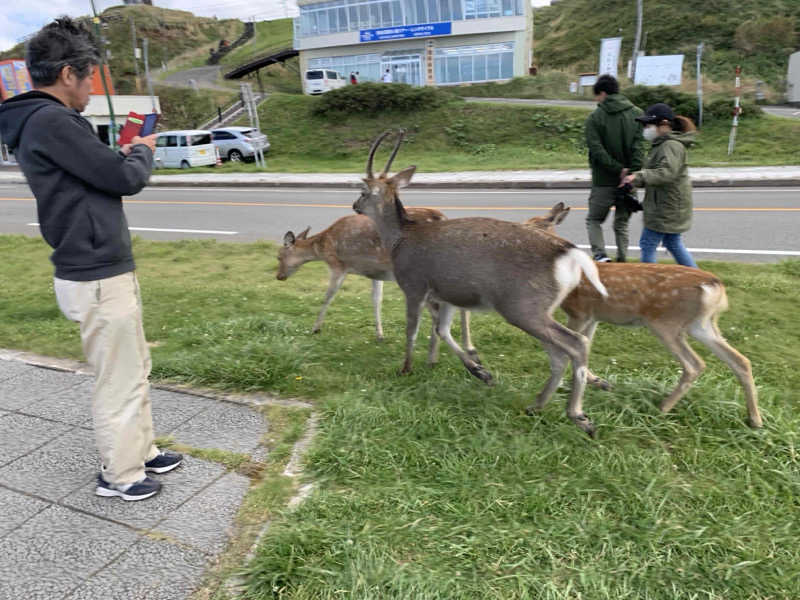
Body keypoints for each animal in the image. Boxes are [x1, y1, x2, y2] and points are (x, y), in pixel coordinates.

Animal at [278, 213, 476, 364]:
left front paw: (315, 328)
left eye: (279, 256)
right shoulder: (376, 273)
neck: (322, 247)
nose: (279, 276)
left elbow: (328, 296)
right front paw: (380, 335)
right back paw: (468, 347)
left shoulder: (338, 265)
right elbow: (376, 300)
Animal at [354, 130, 608, 436]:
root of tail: (570, 254)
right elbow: (442, 330)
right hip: (536, 308)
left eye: (363, 191)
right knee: (559, 352)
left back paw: (579, 416)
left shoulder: (413, 285)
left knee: (575, 342)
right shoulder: (448, 293)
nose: (355, 206)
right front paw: (480, 371)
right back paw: (537, 406)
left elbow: (412, 330)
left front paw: (406, 368)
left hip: (523, 304)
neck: (399, 241)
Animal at [524, 204, 764, 428]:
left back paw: (663, 407)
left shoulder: (579, 312)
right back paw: (755, 419)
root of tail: (714, 286)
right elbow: (586, 344)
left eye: (531, 225)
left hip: (666, 323)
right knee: (741, 361)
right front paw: (597, 381)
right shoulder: (593, 316)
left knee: (695, 364)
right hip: (702, 324)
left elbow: (574, 345)